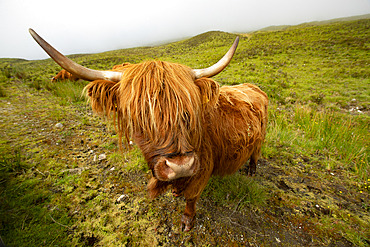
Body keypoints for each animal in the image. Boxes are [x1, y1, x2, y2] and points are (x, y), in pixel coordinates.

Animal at [28, 29, 266, 232]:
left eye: (188, 111)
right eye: (140, 116)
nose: (180, 166)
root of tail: (253, 87)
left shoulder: (203, 167)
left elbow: (191, 197)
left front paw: (187, 221)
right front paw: (175, 190)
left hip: (259, 141)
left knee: (255, 155)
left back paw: (252, 171)